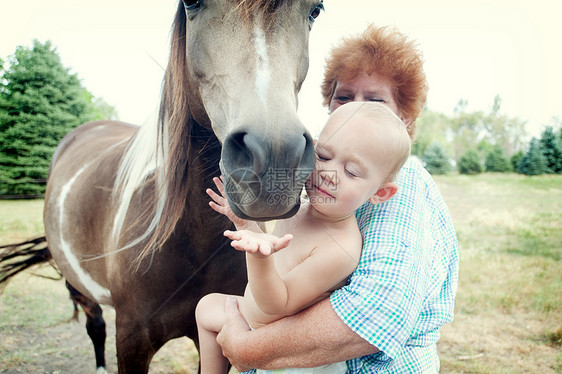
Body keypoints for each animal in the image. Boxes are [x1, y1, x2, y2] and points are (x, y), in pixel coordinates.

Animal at [0, 0, 322, 372]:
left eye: (315, 10)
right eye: (192, 3)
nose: (275, 158)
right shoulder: (132, 340)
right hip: (79, 284)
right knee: (95, 326)